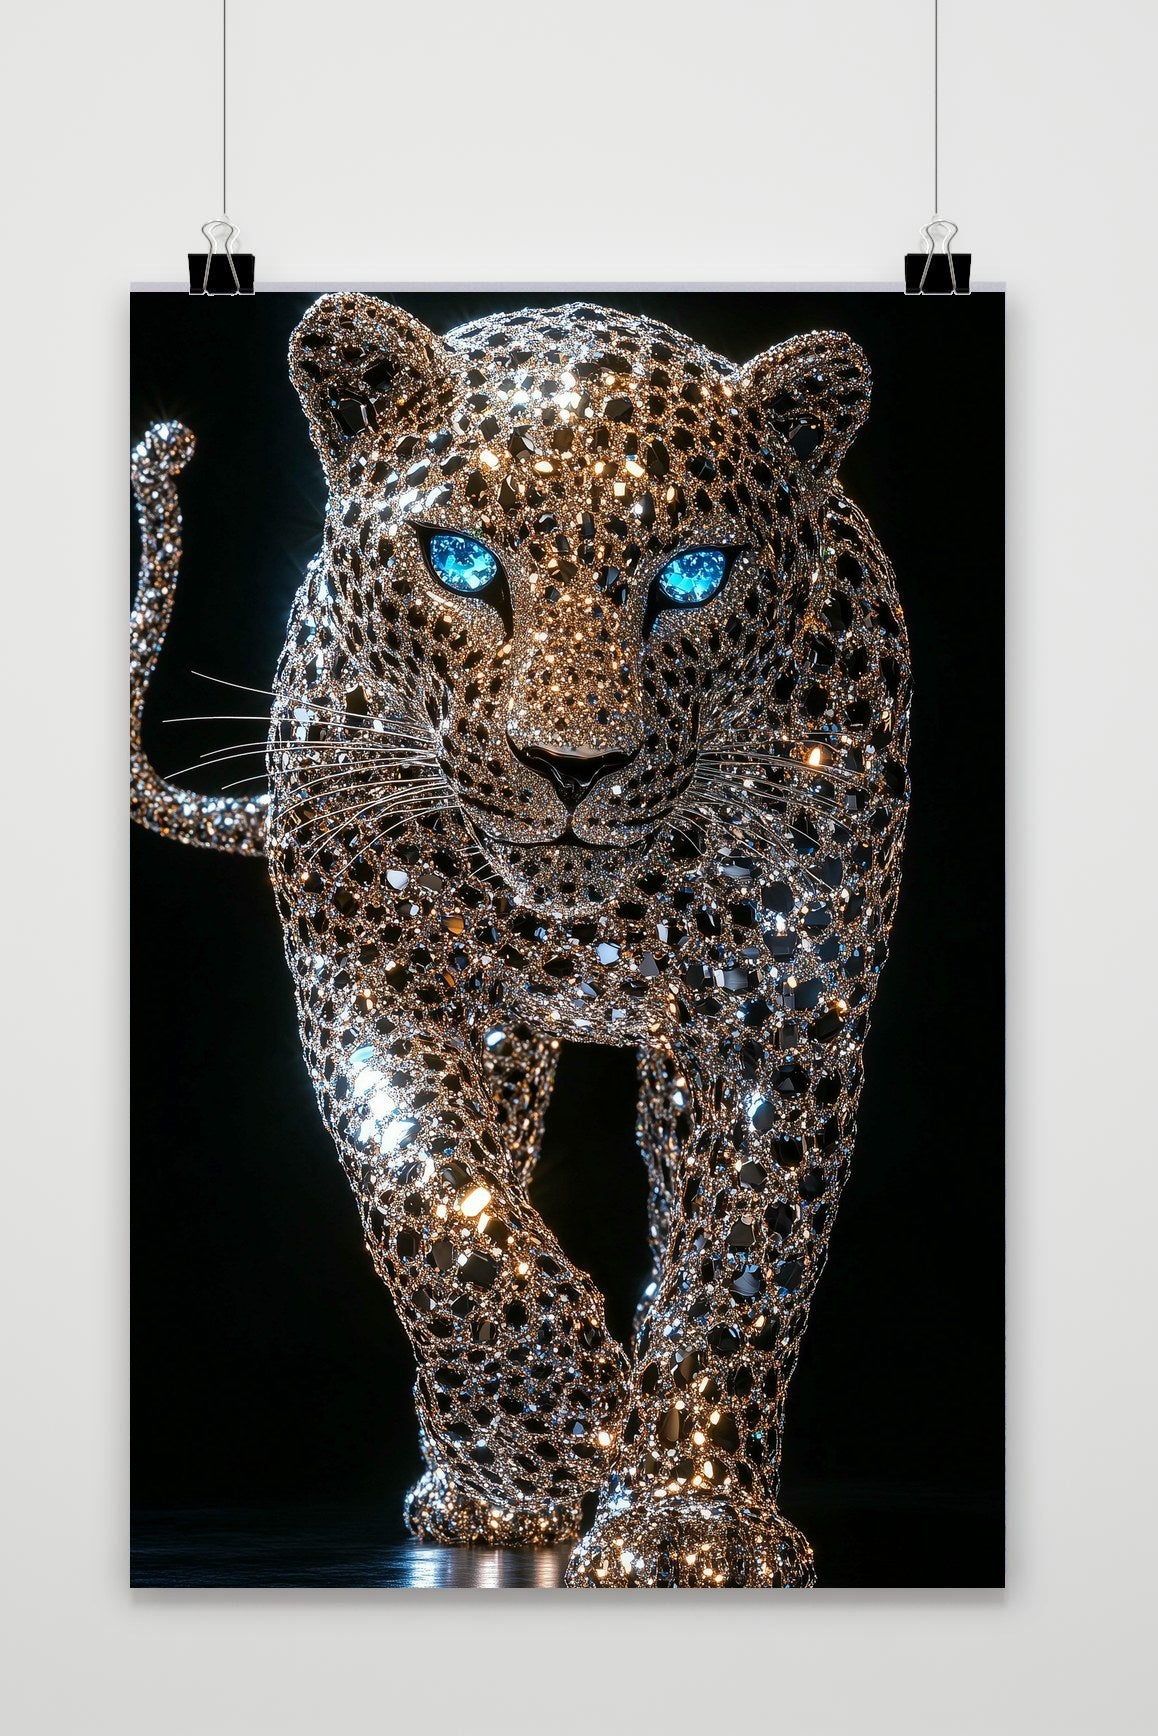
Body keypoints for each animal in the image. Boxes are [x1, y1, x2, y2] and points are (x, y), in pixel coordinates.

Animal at [129, 292, 911, 1587]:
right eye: (461, 561)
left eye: (693, 574)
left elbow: (742, 1250)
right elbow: (428, 1198)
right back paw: (491, 1479)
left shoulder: (788, 995)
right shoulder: (368, 962)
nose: (572, 767)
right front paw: (566, 1416)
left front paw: (689, 1520)